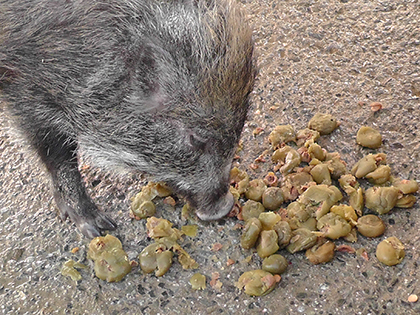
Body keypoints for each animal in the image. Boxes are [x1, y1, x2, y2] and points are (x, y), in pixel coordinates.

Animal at [0, 0, 258, 237]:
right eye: (196, 137)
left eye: (241, 125)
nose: (225, 207)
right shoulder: (26, 92)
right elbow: (59, 157)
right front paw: (99, 229)